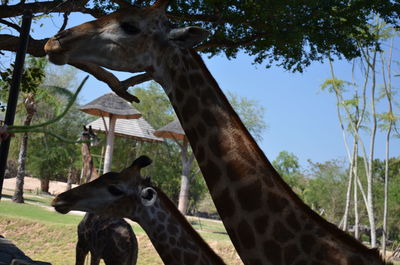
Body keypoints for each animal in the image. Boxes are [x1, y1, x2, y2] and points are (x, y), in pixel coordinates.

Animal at [76, 125, 139, 262]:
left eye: (85, 133)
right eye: (91, 133)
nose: (77, 140)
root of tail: (131, 241)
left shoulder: (84, 246)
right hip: (122, 259)